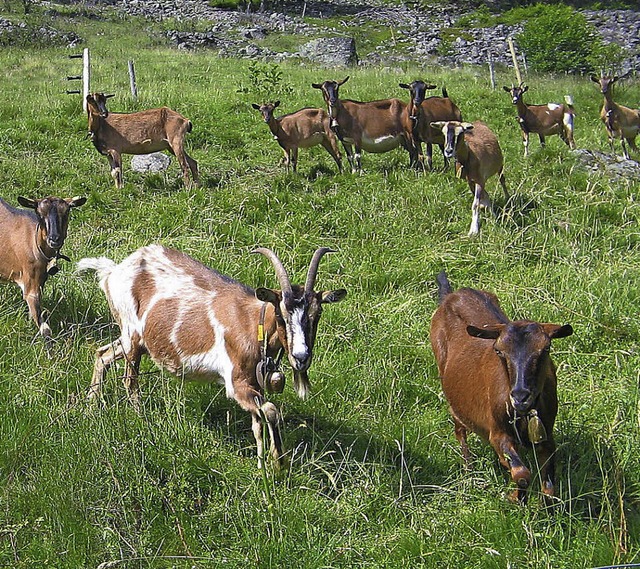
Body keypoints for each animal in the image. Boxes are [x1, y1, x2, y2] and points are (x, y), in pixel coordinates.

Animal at [0, 195, 86, 342]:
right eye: (40, 214)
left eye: (66, 212)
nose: (54, 239)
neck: (34, 244)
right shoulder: (30, 284)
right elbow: (45, 329)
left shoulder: (40, 281)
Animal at [77, 244, 348, 466]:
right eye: (281, 315)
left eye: (317, 314)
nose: (301, 356)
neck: (252, 324)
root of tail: (114, 271)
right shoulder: (237, 382)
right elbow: (271, 410)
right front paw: (279, 465)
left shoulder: (255, 384)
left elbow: (258, 422)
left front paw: (263, 467)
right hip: (132, 335)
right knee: (129, 380)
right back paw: (140, 419)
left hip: (133, 339)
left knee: (102, 354)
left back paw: (90, 406)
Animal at [430, 270, 576, 502]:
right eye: (499, 351)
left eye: (546, 349)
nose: (520, 396)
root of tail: (451, 295)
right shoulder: (497, 433)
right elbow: (522, 473)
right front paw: (516, 497)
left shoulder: (547, 437)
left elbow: (549, 488)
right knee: (459, 427)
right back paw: (468, 469)